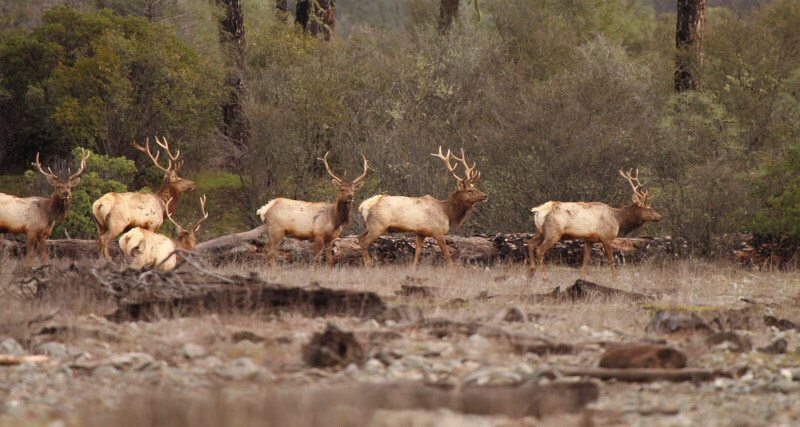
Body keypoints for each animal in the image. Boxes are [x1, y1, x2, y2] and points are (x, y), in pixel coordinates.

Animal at [358, 149, 488, 272]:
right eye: (470, 191)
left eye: (474, 188)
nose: (485, 195)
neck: (447, 213)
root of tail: (363, 206)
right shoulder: (438, 231)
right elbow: (447, 254)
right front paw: (455, 273)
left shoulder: (421, 232)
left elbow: (417, 252)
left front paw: (413, 270)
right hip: (378, 225)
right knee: (364, 243)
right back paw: (369, 269)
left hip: (371, 225)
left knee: (359, 238)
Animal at [528, 169, 664, 282]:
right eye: (649, 208)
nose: (660, 217)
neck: (617, 220)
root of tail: (538, 211)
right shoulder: (606, 237)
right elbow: (611, 259)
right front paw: (615, 279)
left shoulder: (589, 239)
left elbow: (586, 259)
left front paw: (581, 277)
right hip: (553, 232)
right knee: (539, 250)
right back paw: (545, 278)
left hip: (541, 232)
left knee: (530, 243)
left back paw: (531, 272)